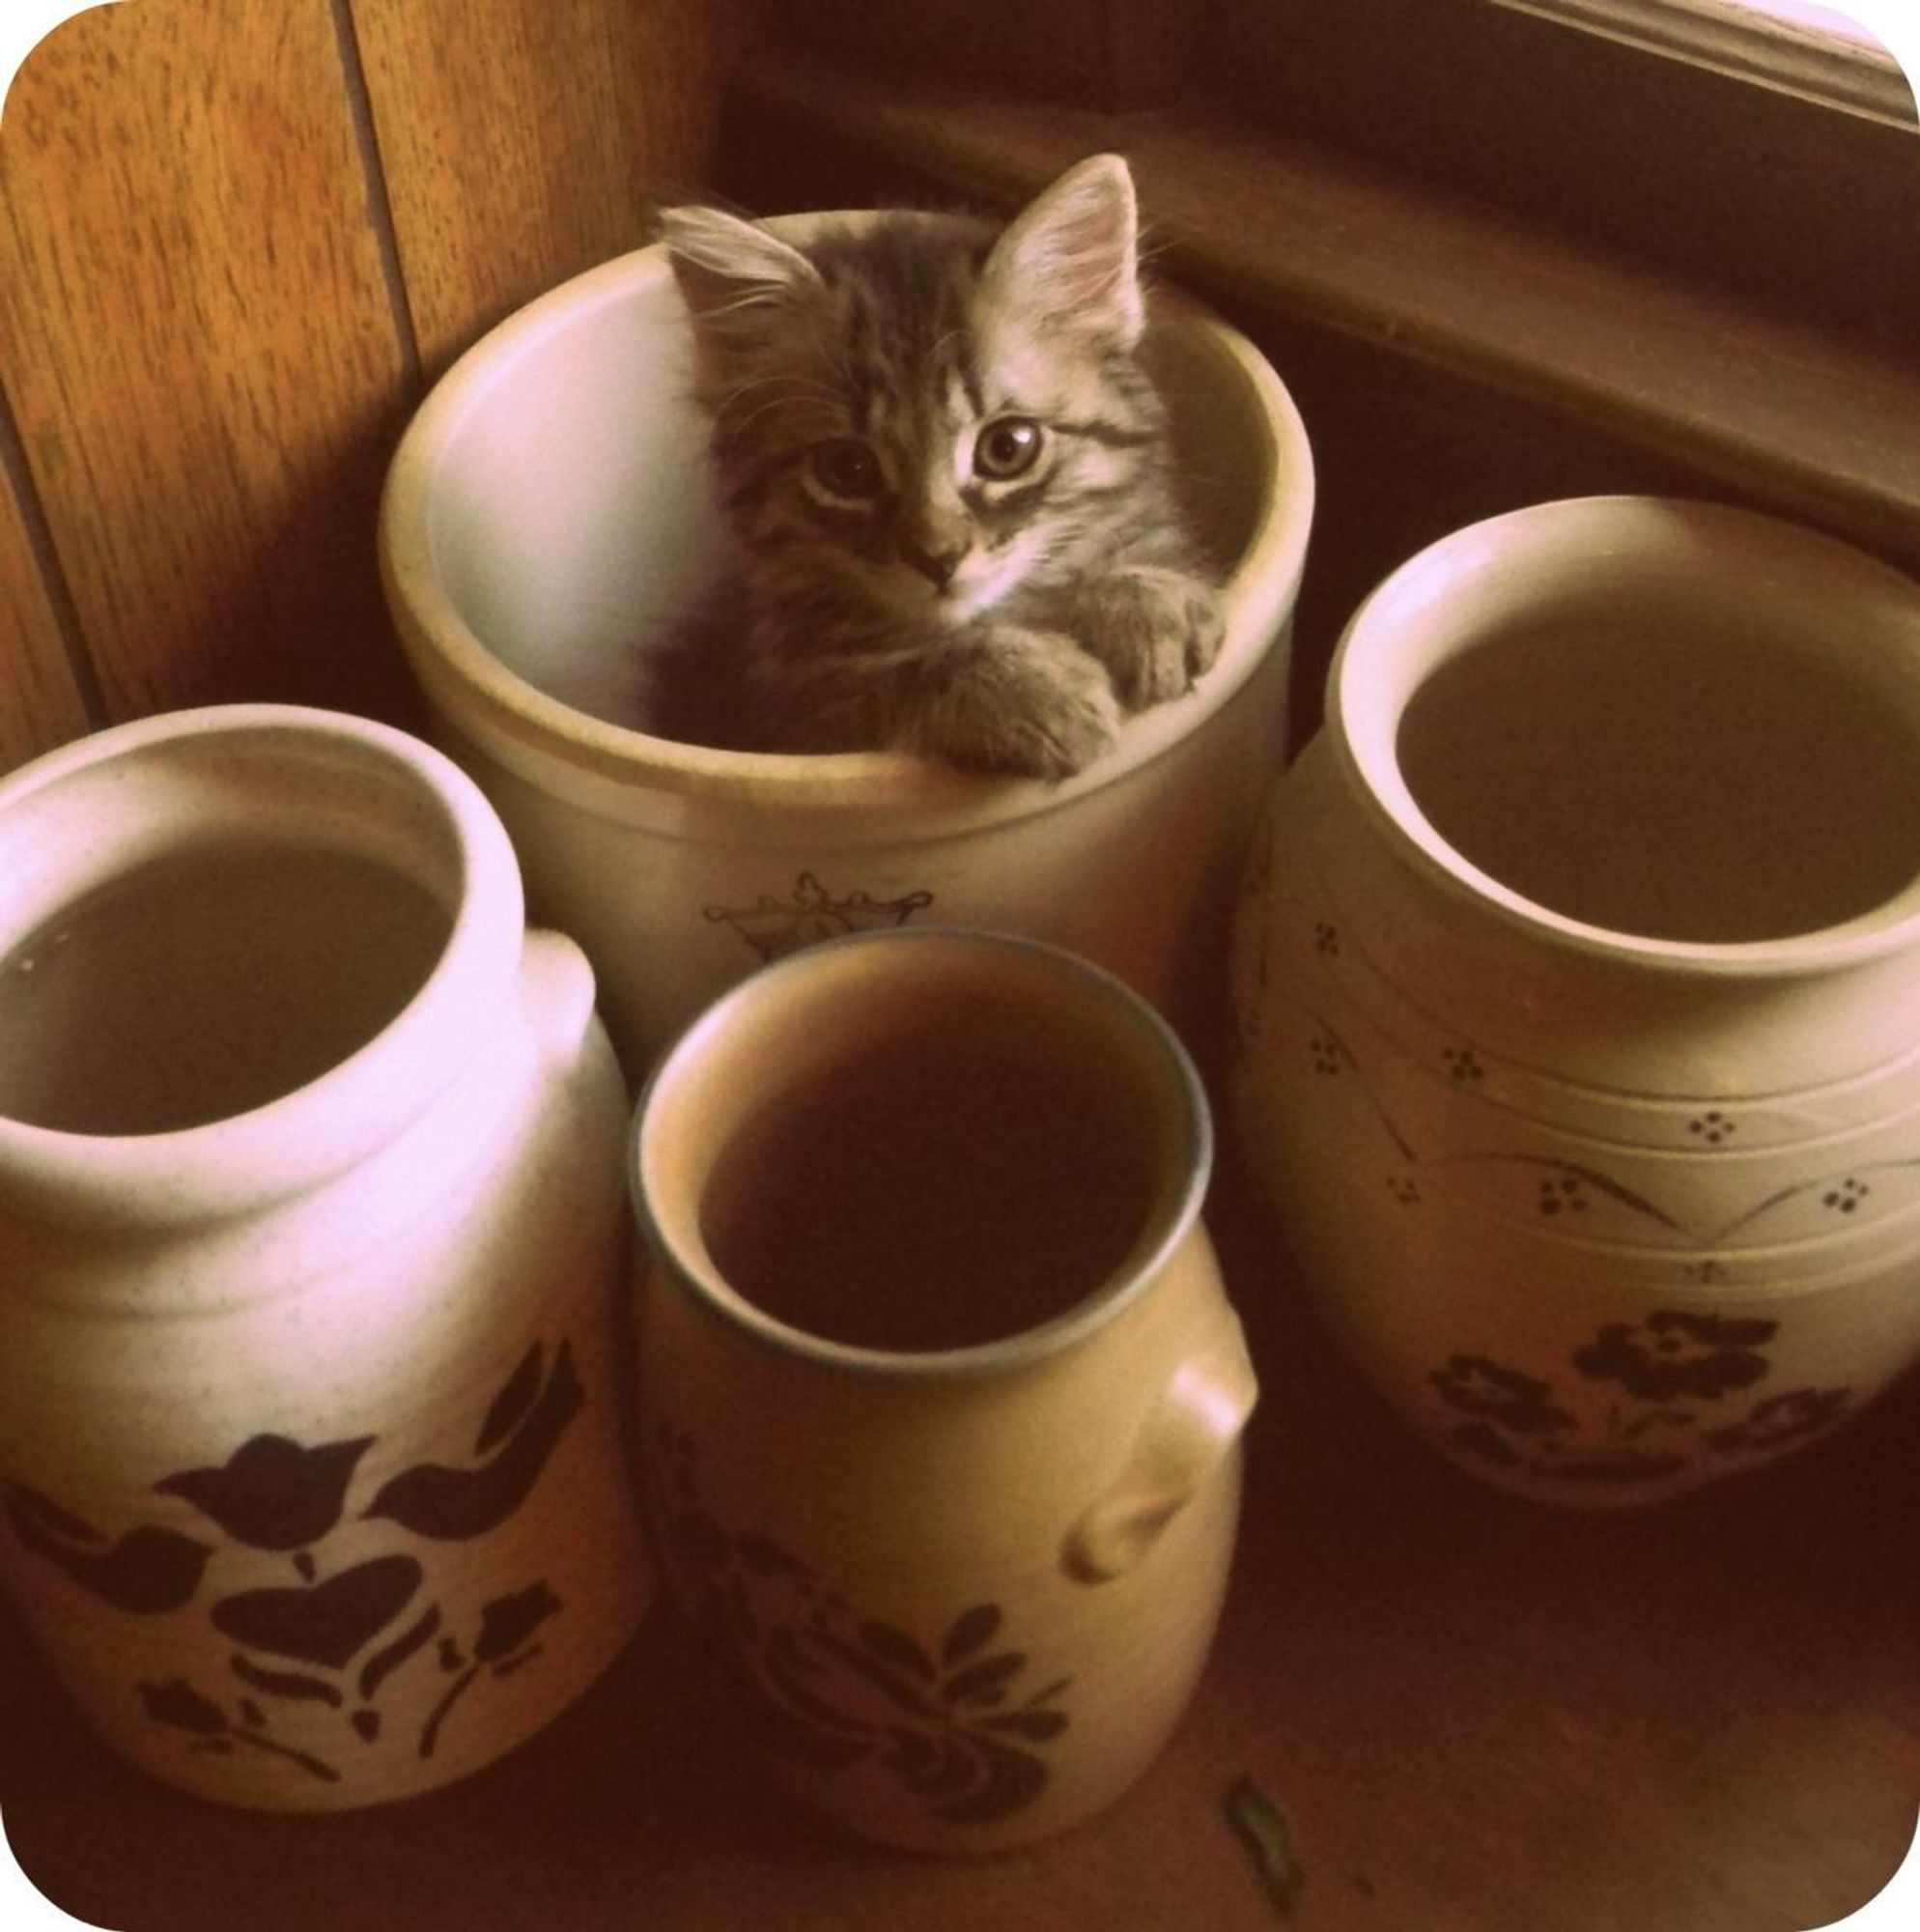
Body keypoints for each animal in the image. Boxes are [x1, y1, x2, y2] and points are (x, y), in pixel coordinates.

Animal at [653, 155, 1221, 781]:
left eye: (1007, 448)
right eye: (847, 468)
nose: (939, 559)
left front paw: (1144, 600)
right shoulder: (791, 706)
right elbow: (883, 672)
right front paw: (1024, 684)